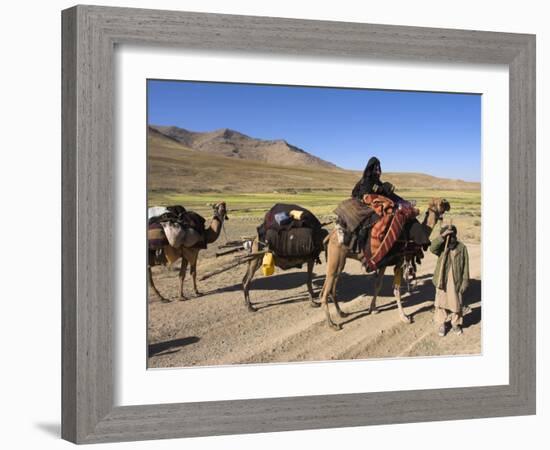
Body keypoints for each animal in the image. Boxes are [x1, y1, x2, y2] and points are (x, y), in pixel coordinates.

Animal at [322, 197, 450, 330]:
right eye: (441, 203)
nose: (447, 203)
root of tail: (330, 236)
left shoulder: (383, 262)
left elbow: (378, 285)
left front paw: (372, 308)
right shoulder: (399, 261)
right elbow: (396, 289)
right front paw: (404, 317)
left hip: (340, 261)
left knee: (331, 287)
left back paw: (341, 313)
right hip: (335, 257)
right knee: (325, 291)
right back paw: (332, 324)